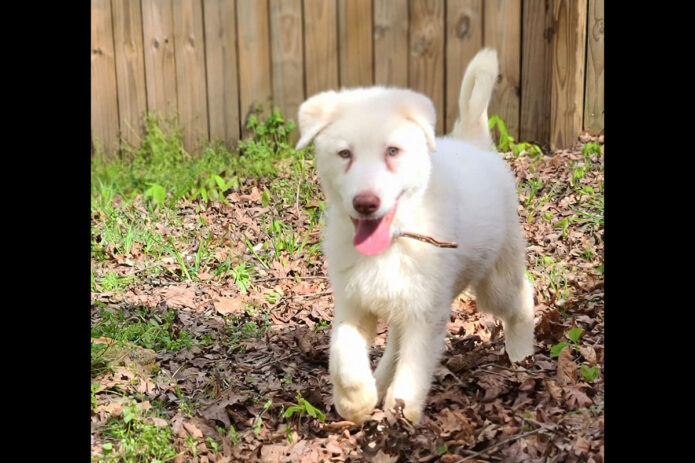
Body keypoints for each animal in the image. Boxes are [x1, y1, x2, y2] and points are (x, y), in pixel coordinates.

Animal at [296, 48, 536, 424]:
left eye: (392, 151)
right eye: (345, 154)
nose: (365, 203)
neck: (392, 242)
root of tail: (473, 141)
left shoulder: (426, 313)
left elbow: (414, 365)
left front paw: (402, 411)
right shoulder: (353, 303)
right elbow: (343, 356)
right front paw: (356, 401)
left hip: (496, 281)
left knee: (523, 296)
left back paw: (521, 352)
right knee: (394, 343)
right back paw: (379, 381)